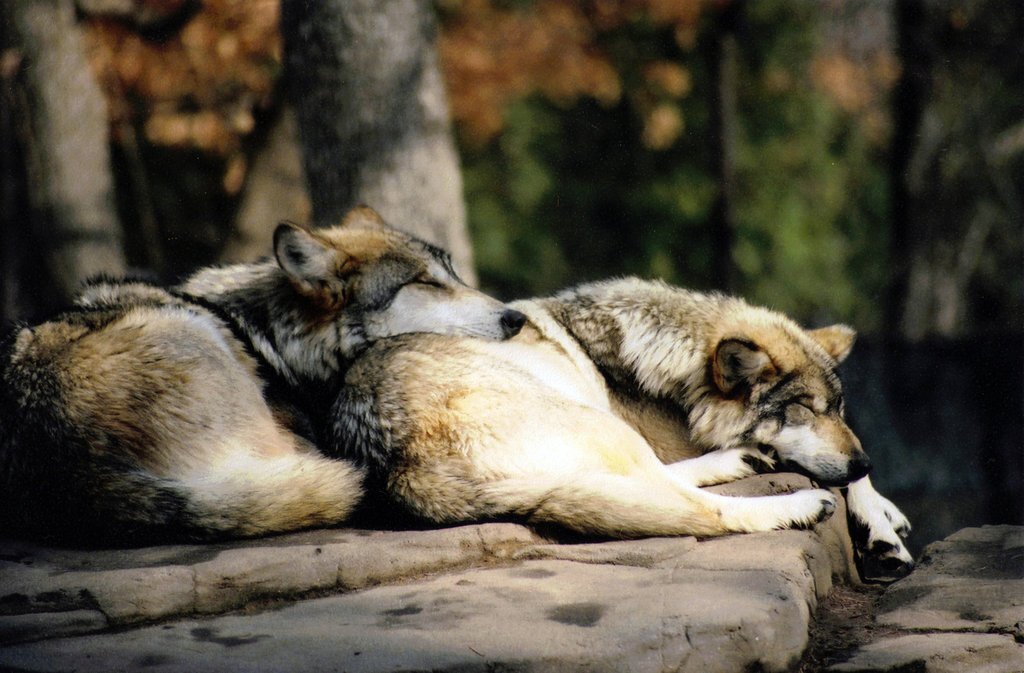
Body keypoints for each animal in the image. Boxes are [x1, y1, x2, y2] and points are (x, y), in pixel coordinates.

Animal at [0, 206, 524, 544]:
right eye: (426, 283)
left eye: (455, 276)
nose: (516, 318)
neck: (277, 339)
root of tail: (67, 471)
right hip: (197, 336)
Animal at [331, 278, 917, 577]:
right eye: (804, 411)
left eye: (837, 409)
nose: (864, 459)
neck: (676, 363)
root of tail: (403, 468)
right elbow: (837, 477)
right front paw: (881, 532)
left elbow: (857, 479)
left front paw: (885, 515)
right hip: (596, 422)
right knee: (702, 510)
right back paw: (795, 502)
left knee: (665, 484)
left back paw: (744, 461)